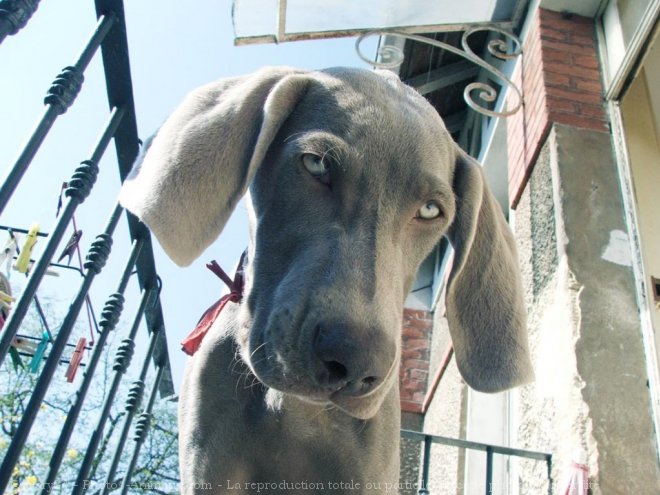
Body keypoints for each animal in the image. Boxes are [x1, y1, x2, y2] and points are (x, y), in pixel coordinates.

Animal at [118, 65, 532, 492]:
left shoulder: (368, 476)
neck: (296, 409)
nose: (355, 362)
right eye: (316, 164)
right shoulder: (210, 468)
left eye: (431, 210)